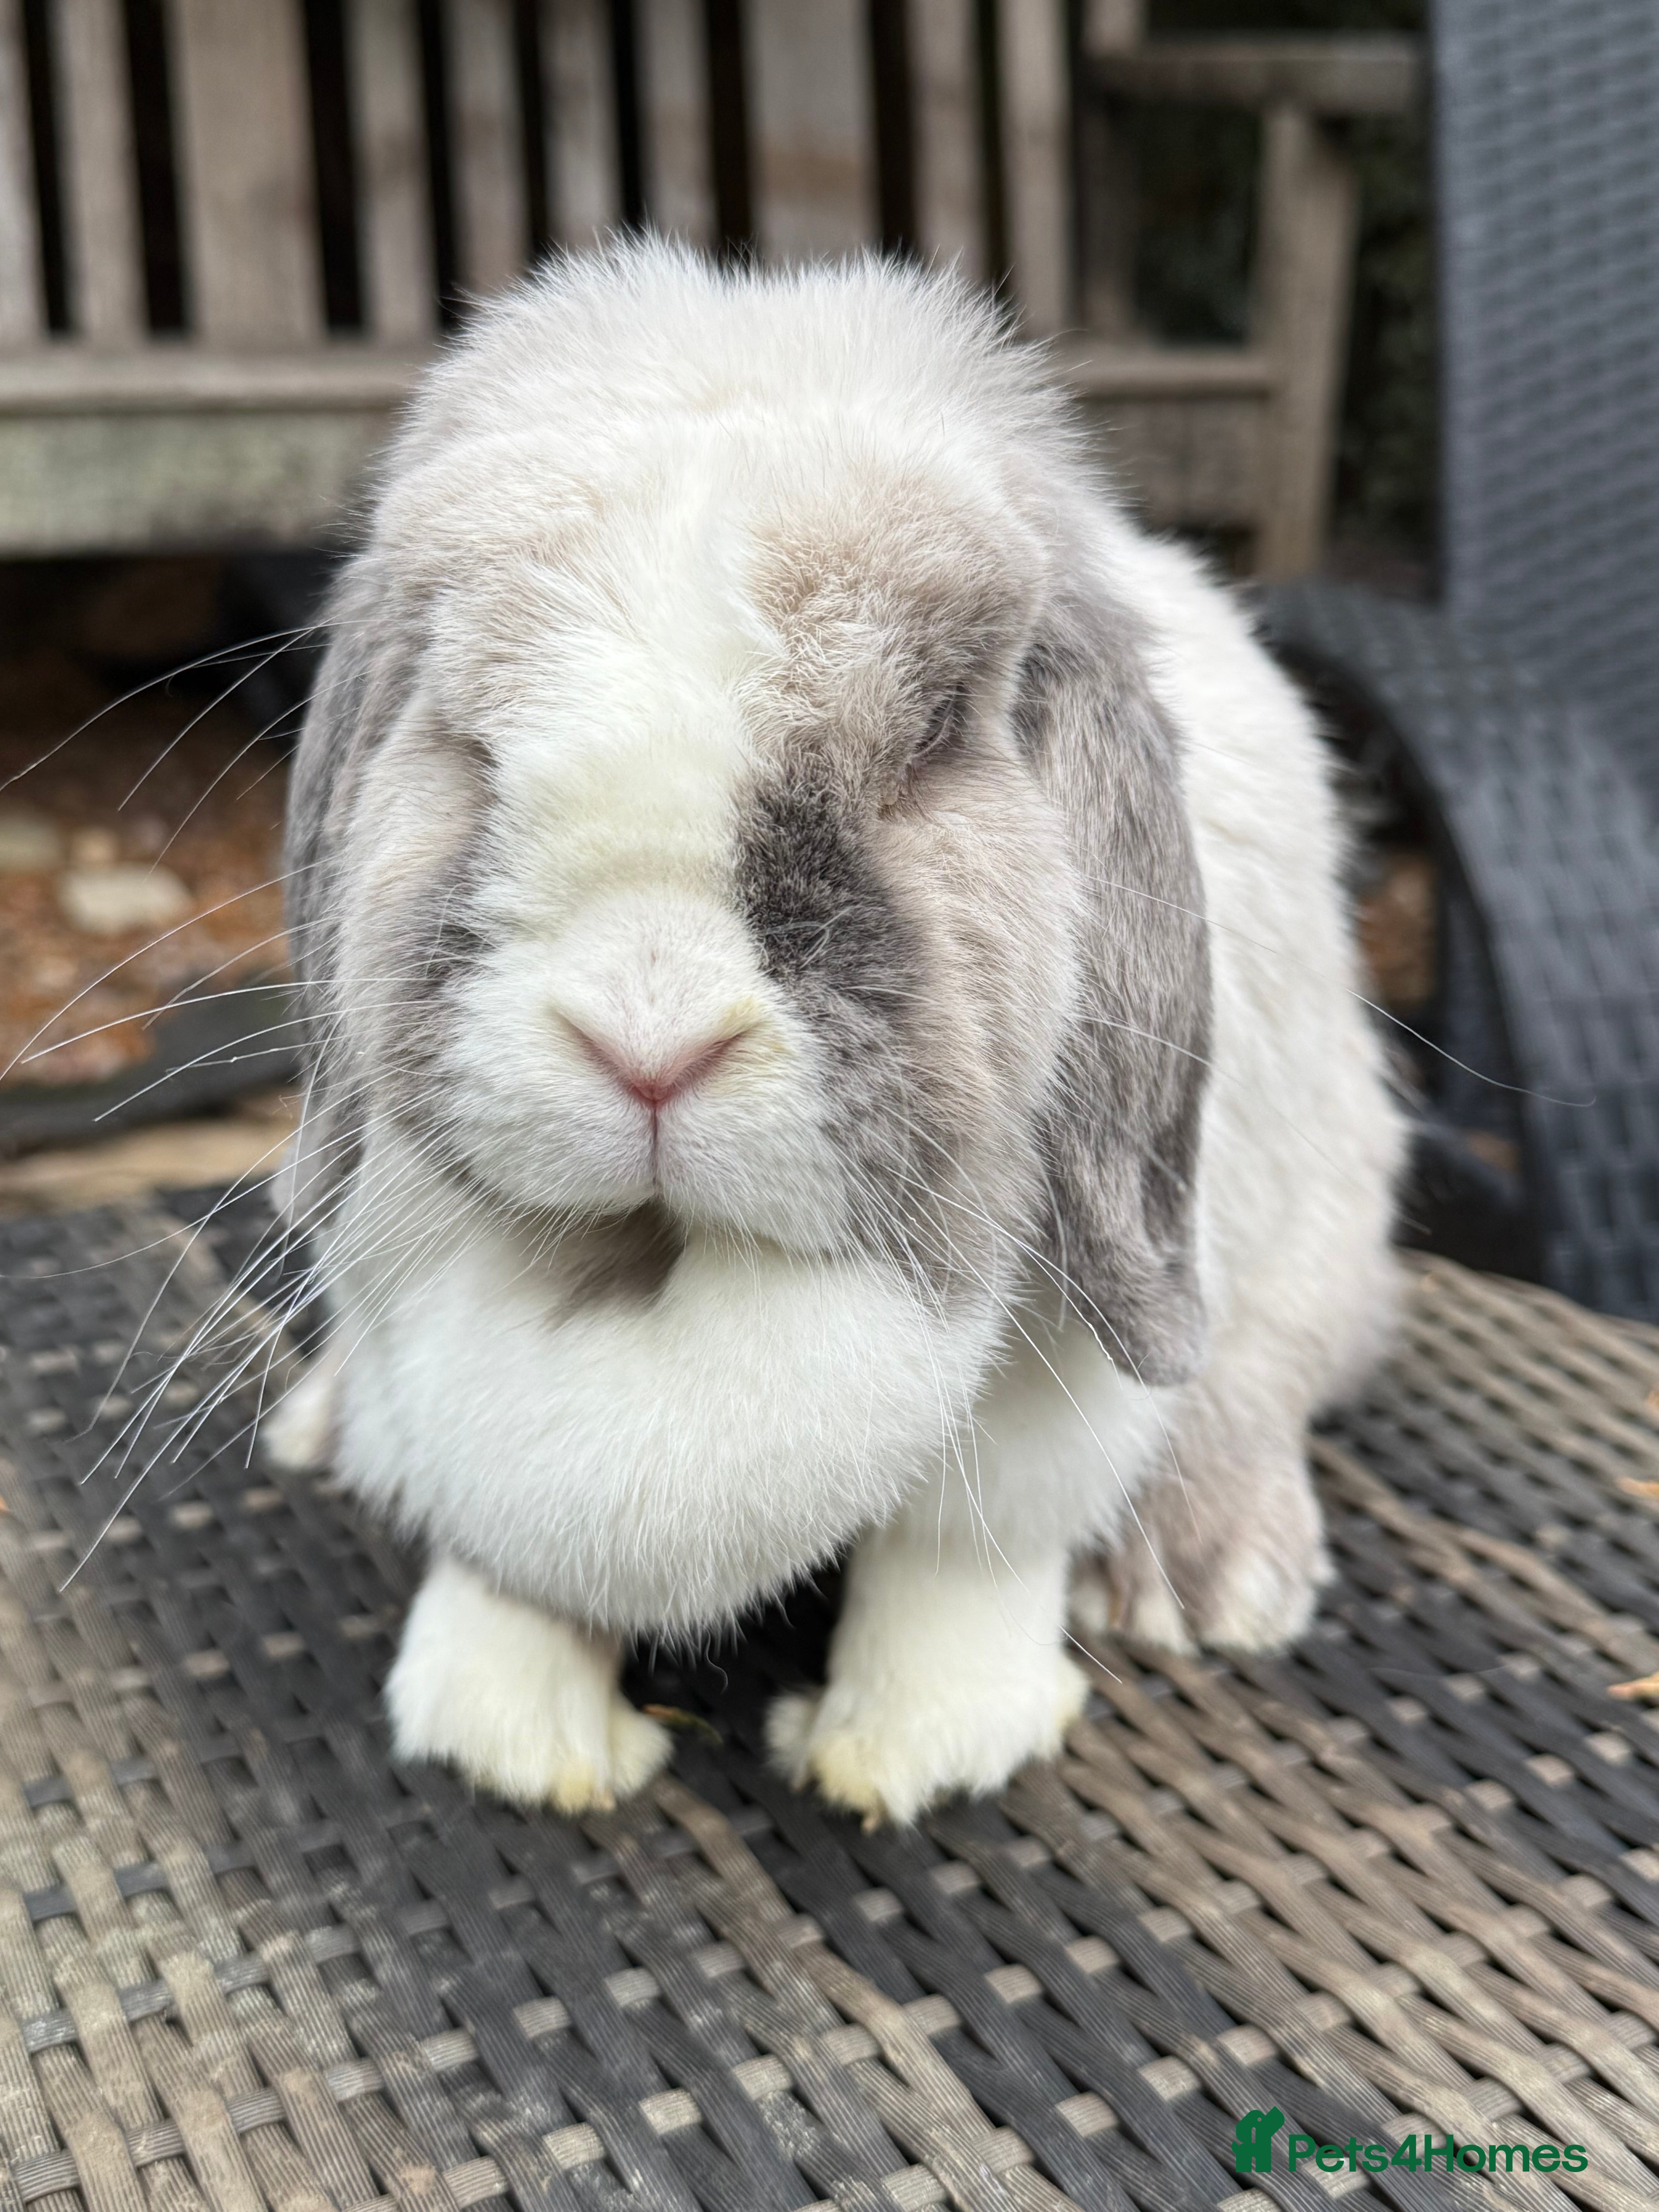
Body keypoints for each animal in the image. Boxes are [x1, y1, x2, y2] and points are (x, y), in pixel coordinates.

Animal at [264, 239, 1404, 1825]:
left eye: (932, 740)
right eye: (465, 738)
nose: (650, 1042)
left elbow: (970, 1551)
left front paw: (915, 1744)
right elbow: (503, 1543)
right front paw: (510, 1729)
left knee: (1260, 1377)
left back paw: (1207, 1574)